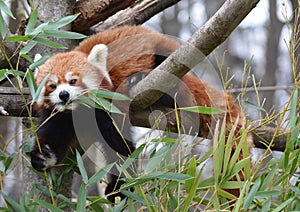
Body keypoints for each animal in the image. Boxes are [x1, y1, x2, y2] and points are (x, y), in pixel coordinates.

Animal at [30, 24, 252, 200]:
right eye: (51, 85)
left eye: (74, 80)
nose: (64, 95)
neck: (78, 111)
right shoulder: (60, 116)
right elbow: (53, 135)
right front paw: (43, 156)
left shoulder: (108, 106)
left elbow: (120, 146)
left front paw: (119, 187)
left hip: (167, 59)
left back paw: (141, 79)